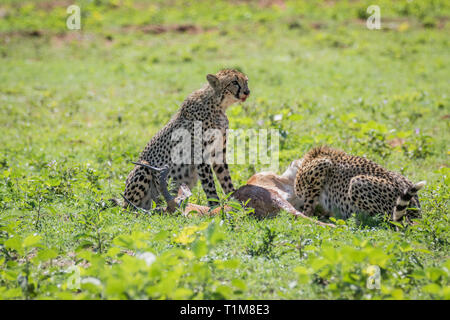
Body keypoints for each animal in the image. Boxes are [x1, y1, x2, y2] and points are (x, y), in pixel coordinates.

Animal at [119, 69, 250, 210]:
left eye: (246, 81)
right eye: (234, 82)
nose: (247, 92)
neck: (218, 105)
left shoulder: (218, 152)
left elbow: (225, 179)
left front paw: (235, 201)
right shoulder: (200, 154)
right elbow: (209, 184)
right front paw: (215, 206)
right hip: (143, 168)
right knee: (129, 207)